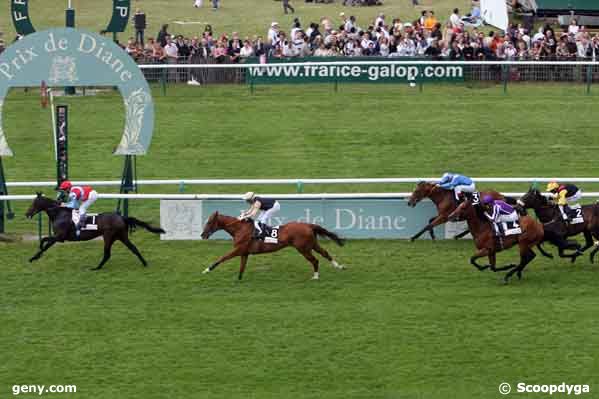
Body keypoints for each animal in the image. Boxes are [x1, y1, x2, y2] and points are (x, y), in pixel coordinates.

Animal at [25, 192, 165, 270]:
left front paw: (34, 257)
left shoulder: (60, 237)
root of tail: (121, 217)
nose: (27, 214)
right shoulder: (58, 237)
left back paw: (96, 268)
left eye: (34, 203)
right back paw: (144, 263)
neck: (60, 213)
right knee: (133, 248)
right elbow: (45, 242)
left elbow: (45, 242)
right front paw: (36, 255)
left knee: (107, 254)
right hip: (121, 236)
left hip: (108, 236)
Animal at [200, 212, 346, 282]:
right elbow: (242, 267)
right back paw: (339, 266)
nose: (202, 235)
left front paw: (207, 269)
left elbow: (222, 258)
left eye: (209, 222)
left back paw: (316, 276)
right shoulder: (244, 252)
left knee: (315, 260)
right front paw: (238, 279)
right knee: (325, 253)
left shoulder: (238, 250)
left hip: (303, 248)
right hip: (312, 244)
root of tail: (309, 225)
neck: (239, 229)